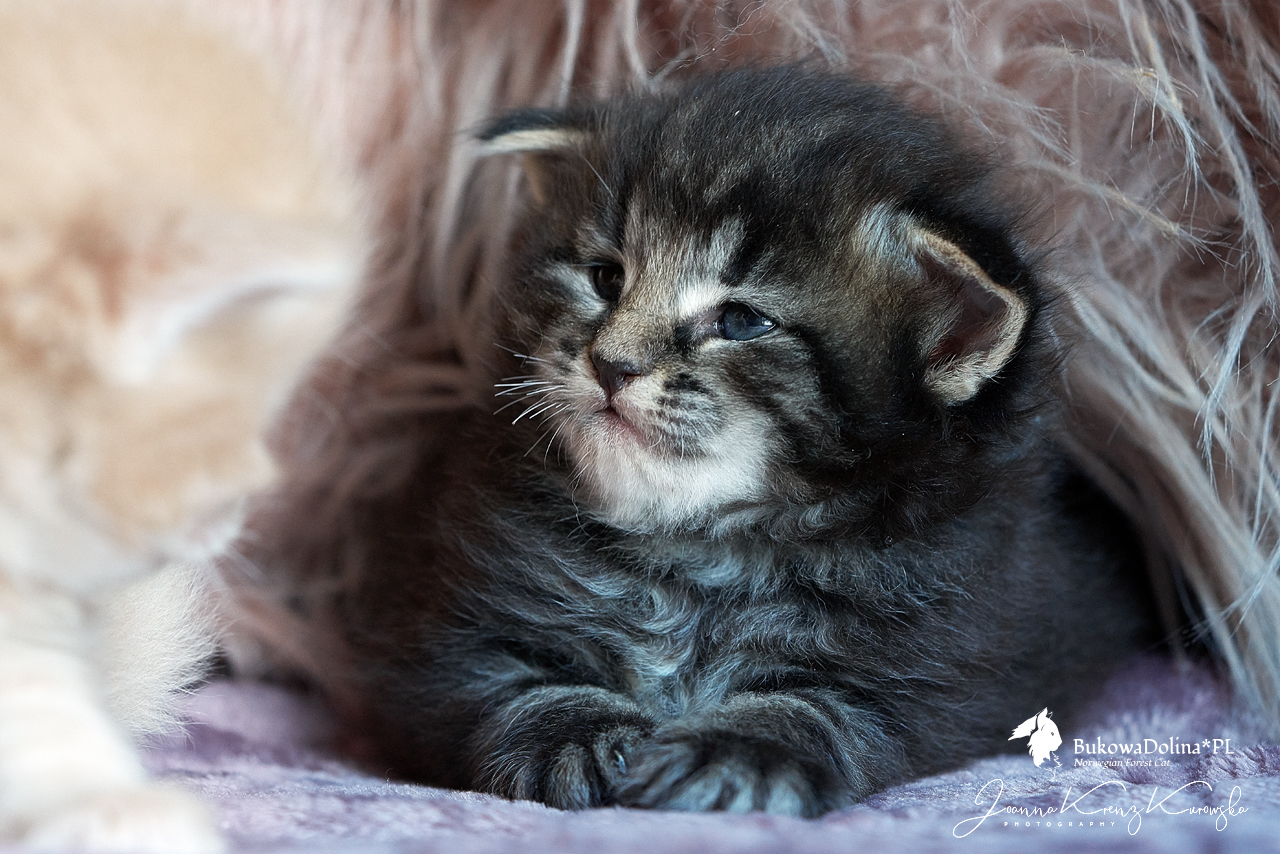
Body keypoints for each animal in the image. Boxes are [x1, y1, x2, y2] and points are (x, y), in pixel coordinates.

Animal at [344, 66, 1153, 816]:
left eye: (740, 322)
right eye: (605, 278)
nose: (611, 364)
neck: (697, 551)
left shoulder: (956, 662)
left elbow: (818, 707)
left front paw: (735, 750)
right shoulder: (437, 631)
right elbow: (511, 686)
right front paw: (571, 734)